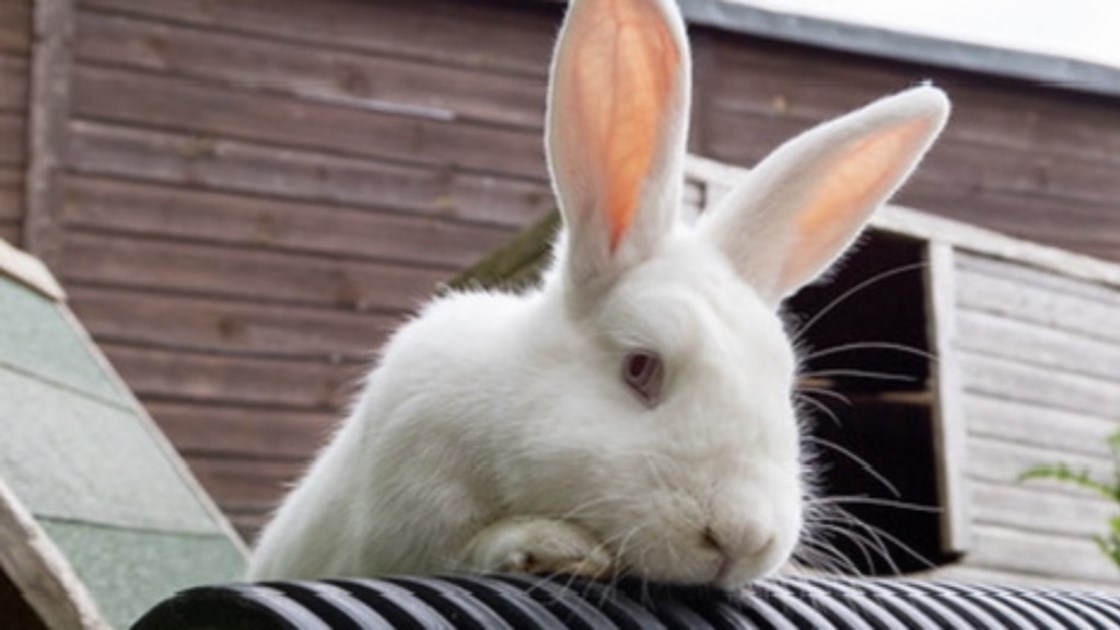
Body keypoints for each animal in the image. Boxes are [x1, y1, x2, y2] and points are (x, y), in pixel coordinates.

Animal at [247, 0, 950, 588]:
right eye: (641, 368)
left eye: (784, 384)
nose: (743, 537)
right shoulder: (391, 526)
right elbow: (454, 550)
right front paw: (551, 546)